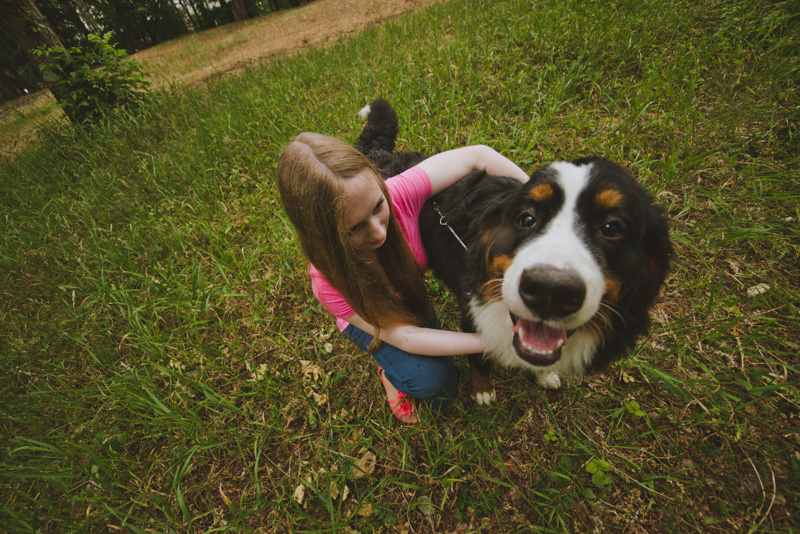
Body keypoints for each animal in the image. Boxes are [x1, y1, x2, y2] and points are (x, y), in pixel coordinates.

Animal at [355, 99, 672, 404]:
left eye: (611, 228)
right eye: (526, 219)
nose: (550, 290)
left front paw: (544, 375)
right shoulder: (472, 315)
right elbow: (480, 356)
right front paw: (482, 391)